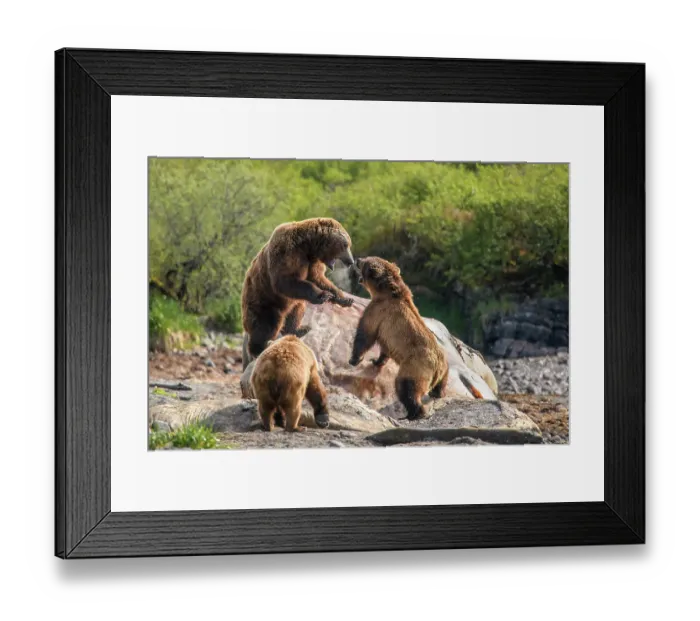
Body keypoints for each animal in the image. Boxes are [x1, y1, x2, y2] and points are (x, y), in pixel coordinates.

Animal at [241, 218, 355, 368]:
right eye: (345, 245)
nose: (351, 261)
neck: (309, 246)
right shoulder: (287, 252)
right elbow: (285, 280)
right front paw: (323, 295)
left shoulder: (312, 261)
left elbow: (317, 278)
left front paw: (344, 299)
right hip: (263, 301)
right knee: (266, 325)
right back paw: (259, 348)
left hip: (290, 304)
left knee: (297, 310)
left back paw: (300, 329)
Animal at [349, 257, 450, 420]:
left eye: (365, 262)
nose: (357, 259)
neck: (384, 292)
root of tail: (437, 367)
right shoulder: (386, 329)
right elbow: (384, 349)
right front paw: (376, 360)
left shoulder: (377, 311)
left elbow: (365, 335)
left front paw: (355, 359)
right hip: (444, 366)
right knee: (442, 381)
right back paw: (438, 393)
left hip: (415, 366)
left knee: (406, 388)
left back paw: (412, 413)